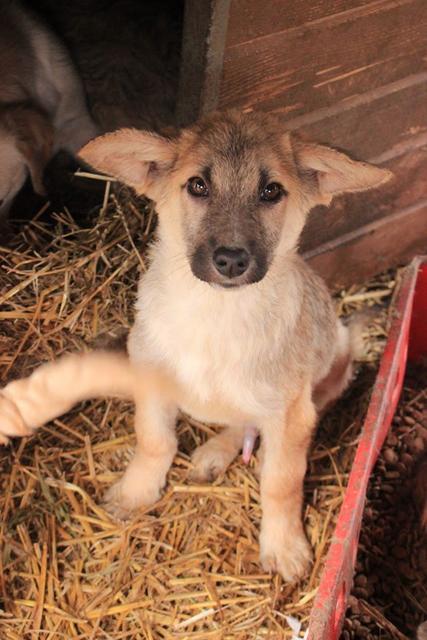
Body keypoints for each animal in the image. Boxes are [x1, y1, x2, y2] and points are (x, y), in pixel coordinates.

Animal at [0, 111, 392, 584]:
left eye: (271, 191)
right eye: (198, 186)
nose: (231, 260)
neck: (214, 316)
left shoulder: (291, 412)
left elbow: (281, 482)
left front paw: (284, 545)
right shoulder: (149, 380)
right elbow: (153, 440)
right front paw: (135, 492)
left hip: (330, 377)